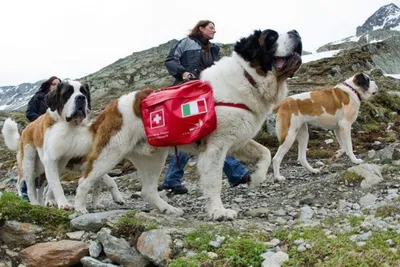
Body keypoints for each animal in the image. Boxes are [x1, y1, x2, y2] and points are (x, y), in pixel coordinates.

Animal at [1, 80, 123, 210]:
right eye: (68, 92)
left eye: (84, 92)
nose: (81, 97)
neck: (71, 126)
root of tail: (25, 130)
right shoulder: (60, 161)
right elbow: (56, 184)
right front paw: (64, 204)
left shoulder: (64, 161)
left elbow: (104, 181)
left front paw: (107, 200)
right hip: (29, 162)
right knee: (26, 184)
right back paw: (33, 202)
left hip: (41, 168)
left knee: (40, 187)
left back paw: (42, 203)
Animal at [73, 29, 302, 222]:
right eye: (271, 37)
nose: (295, 32)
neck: (250, 78)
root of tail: (110, 108)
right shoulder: (215, 148)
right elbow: (214, 182)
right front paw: (218, 212)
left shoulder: (238, 140)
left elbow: (265, 152)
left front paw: (254, 179)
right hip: (110, 153)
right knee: (84, 181)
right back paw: (79, 208)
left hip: (153, 157)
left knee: (148, 190)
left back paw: (168, 209)